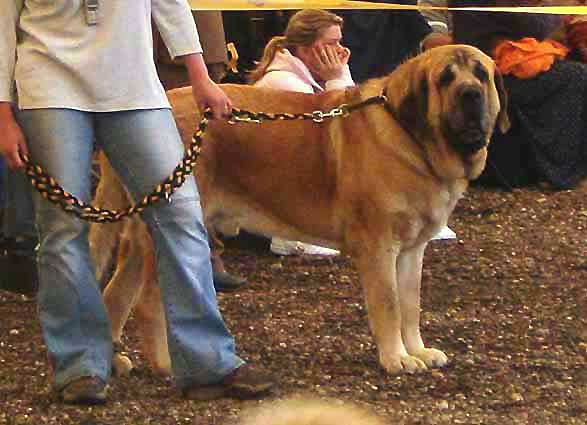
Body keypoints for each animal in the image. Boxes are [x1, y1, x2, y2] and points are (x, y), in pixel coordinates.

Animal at [90, 44, 510, 376]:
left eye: (481, 75)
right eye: (445, 79)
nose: (471, 94)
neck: (413, 139)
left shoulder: (412, 249)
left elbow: (410, 304)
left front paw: (419, 350)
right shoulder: (379, 246)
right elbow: (389, 304)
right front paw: (396, 358)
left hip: (139, 235)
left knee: (116, 292)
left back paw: (113, 361)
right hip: (172, 228)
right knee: (148, 301)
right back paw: (166, 364)